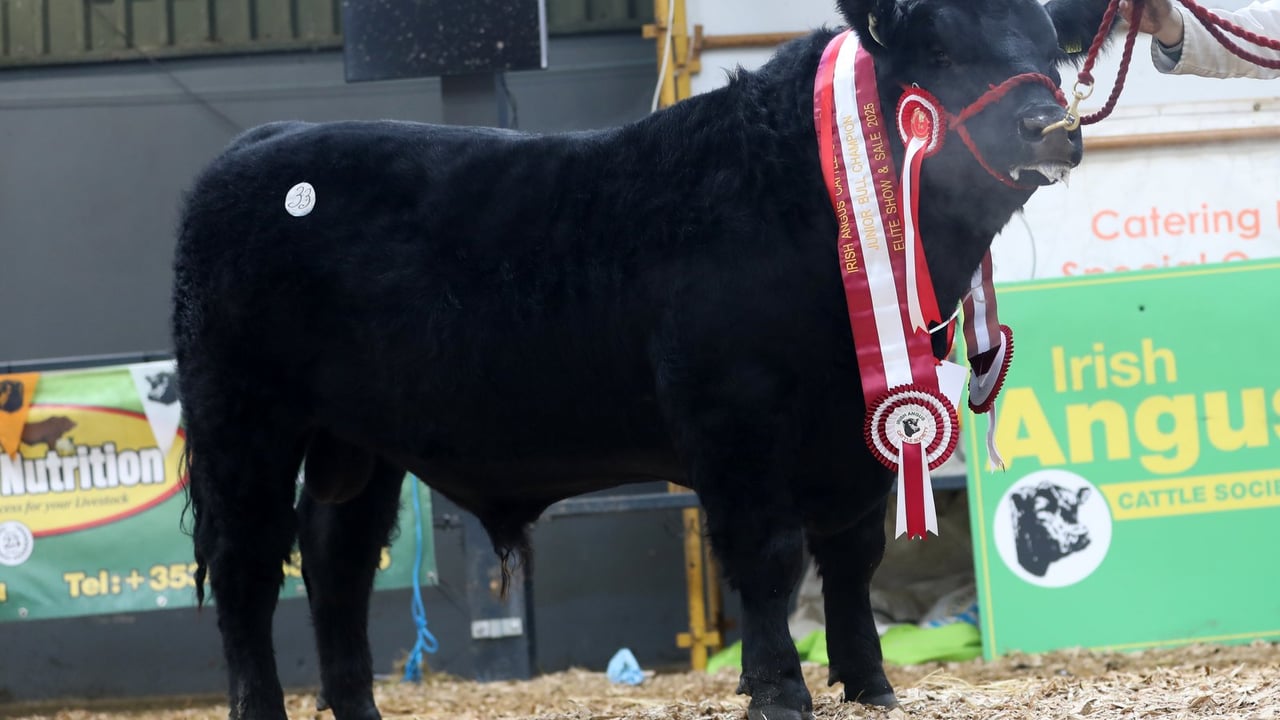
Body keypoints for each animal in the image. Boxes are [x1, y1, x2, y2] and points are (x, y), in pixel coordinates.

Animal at [170, 1, 1119, 718]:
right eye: (941, 49)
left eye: (1051, 46)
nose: (1051, 127)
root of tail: (262, 143)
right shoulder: (736, 423)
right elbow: (769, 558)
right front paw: (779, 691)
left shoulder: (863, 433)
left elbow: (852, 557)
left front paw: (871, 685)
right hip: (240, 418)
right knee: (249, 563)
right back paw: (260, 707)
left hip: (359, 442)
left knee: (336, 558)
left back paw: (358, 708)